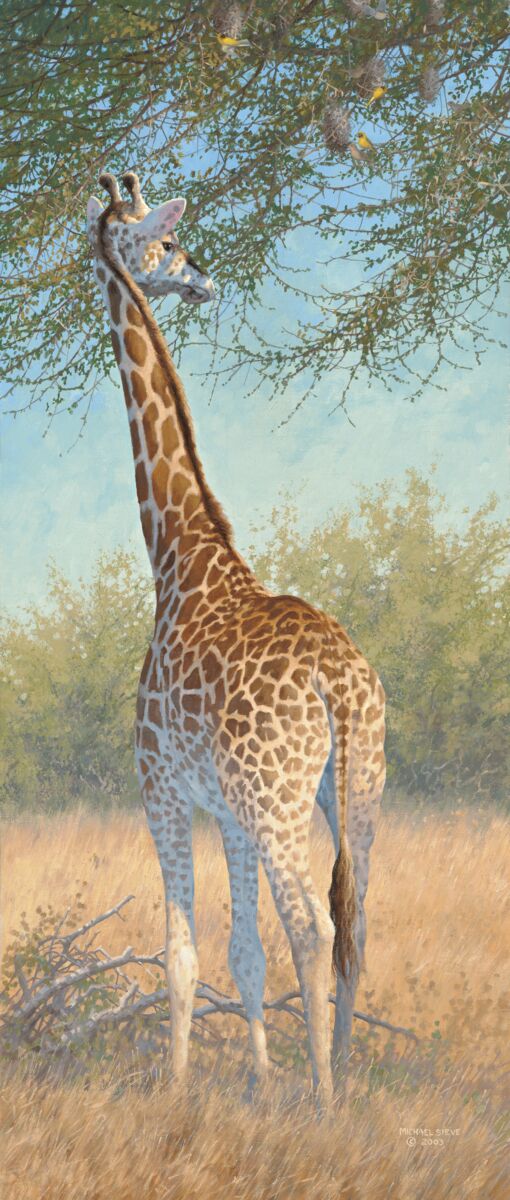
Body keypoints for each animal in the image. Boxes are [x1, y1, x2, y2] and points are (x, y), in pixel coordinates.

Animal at [86, 171, 386, 1103]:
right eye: (171, 245)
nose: (204, 281)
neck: (179, 554)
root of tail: (338, 683)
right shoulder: (226, 808)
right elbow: (244, 953)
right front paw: (253, 1080)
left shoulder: (161, 789)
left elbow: (183, 954)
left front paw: (177, 1091)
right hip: (357, 790)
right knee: (356, 923)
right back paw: (345, 1073)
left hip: (280, 798)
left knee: (314, 923)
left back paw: (324, 1098)